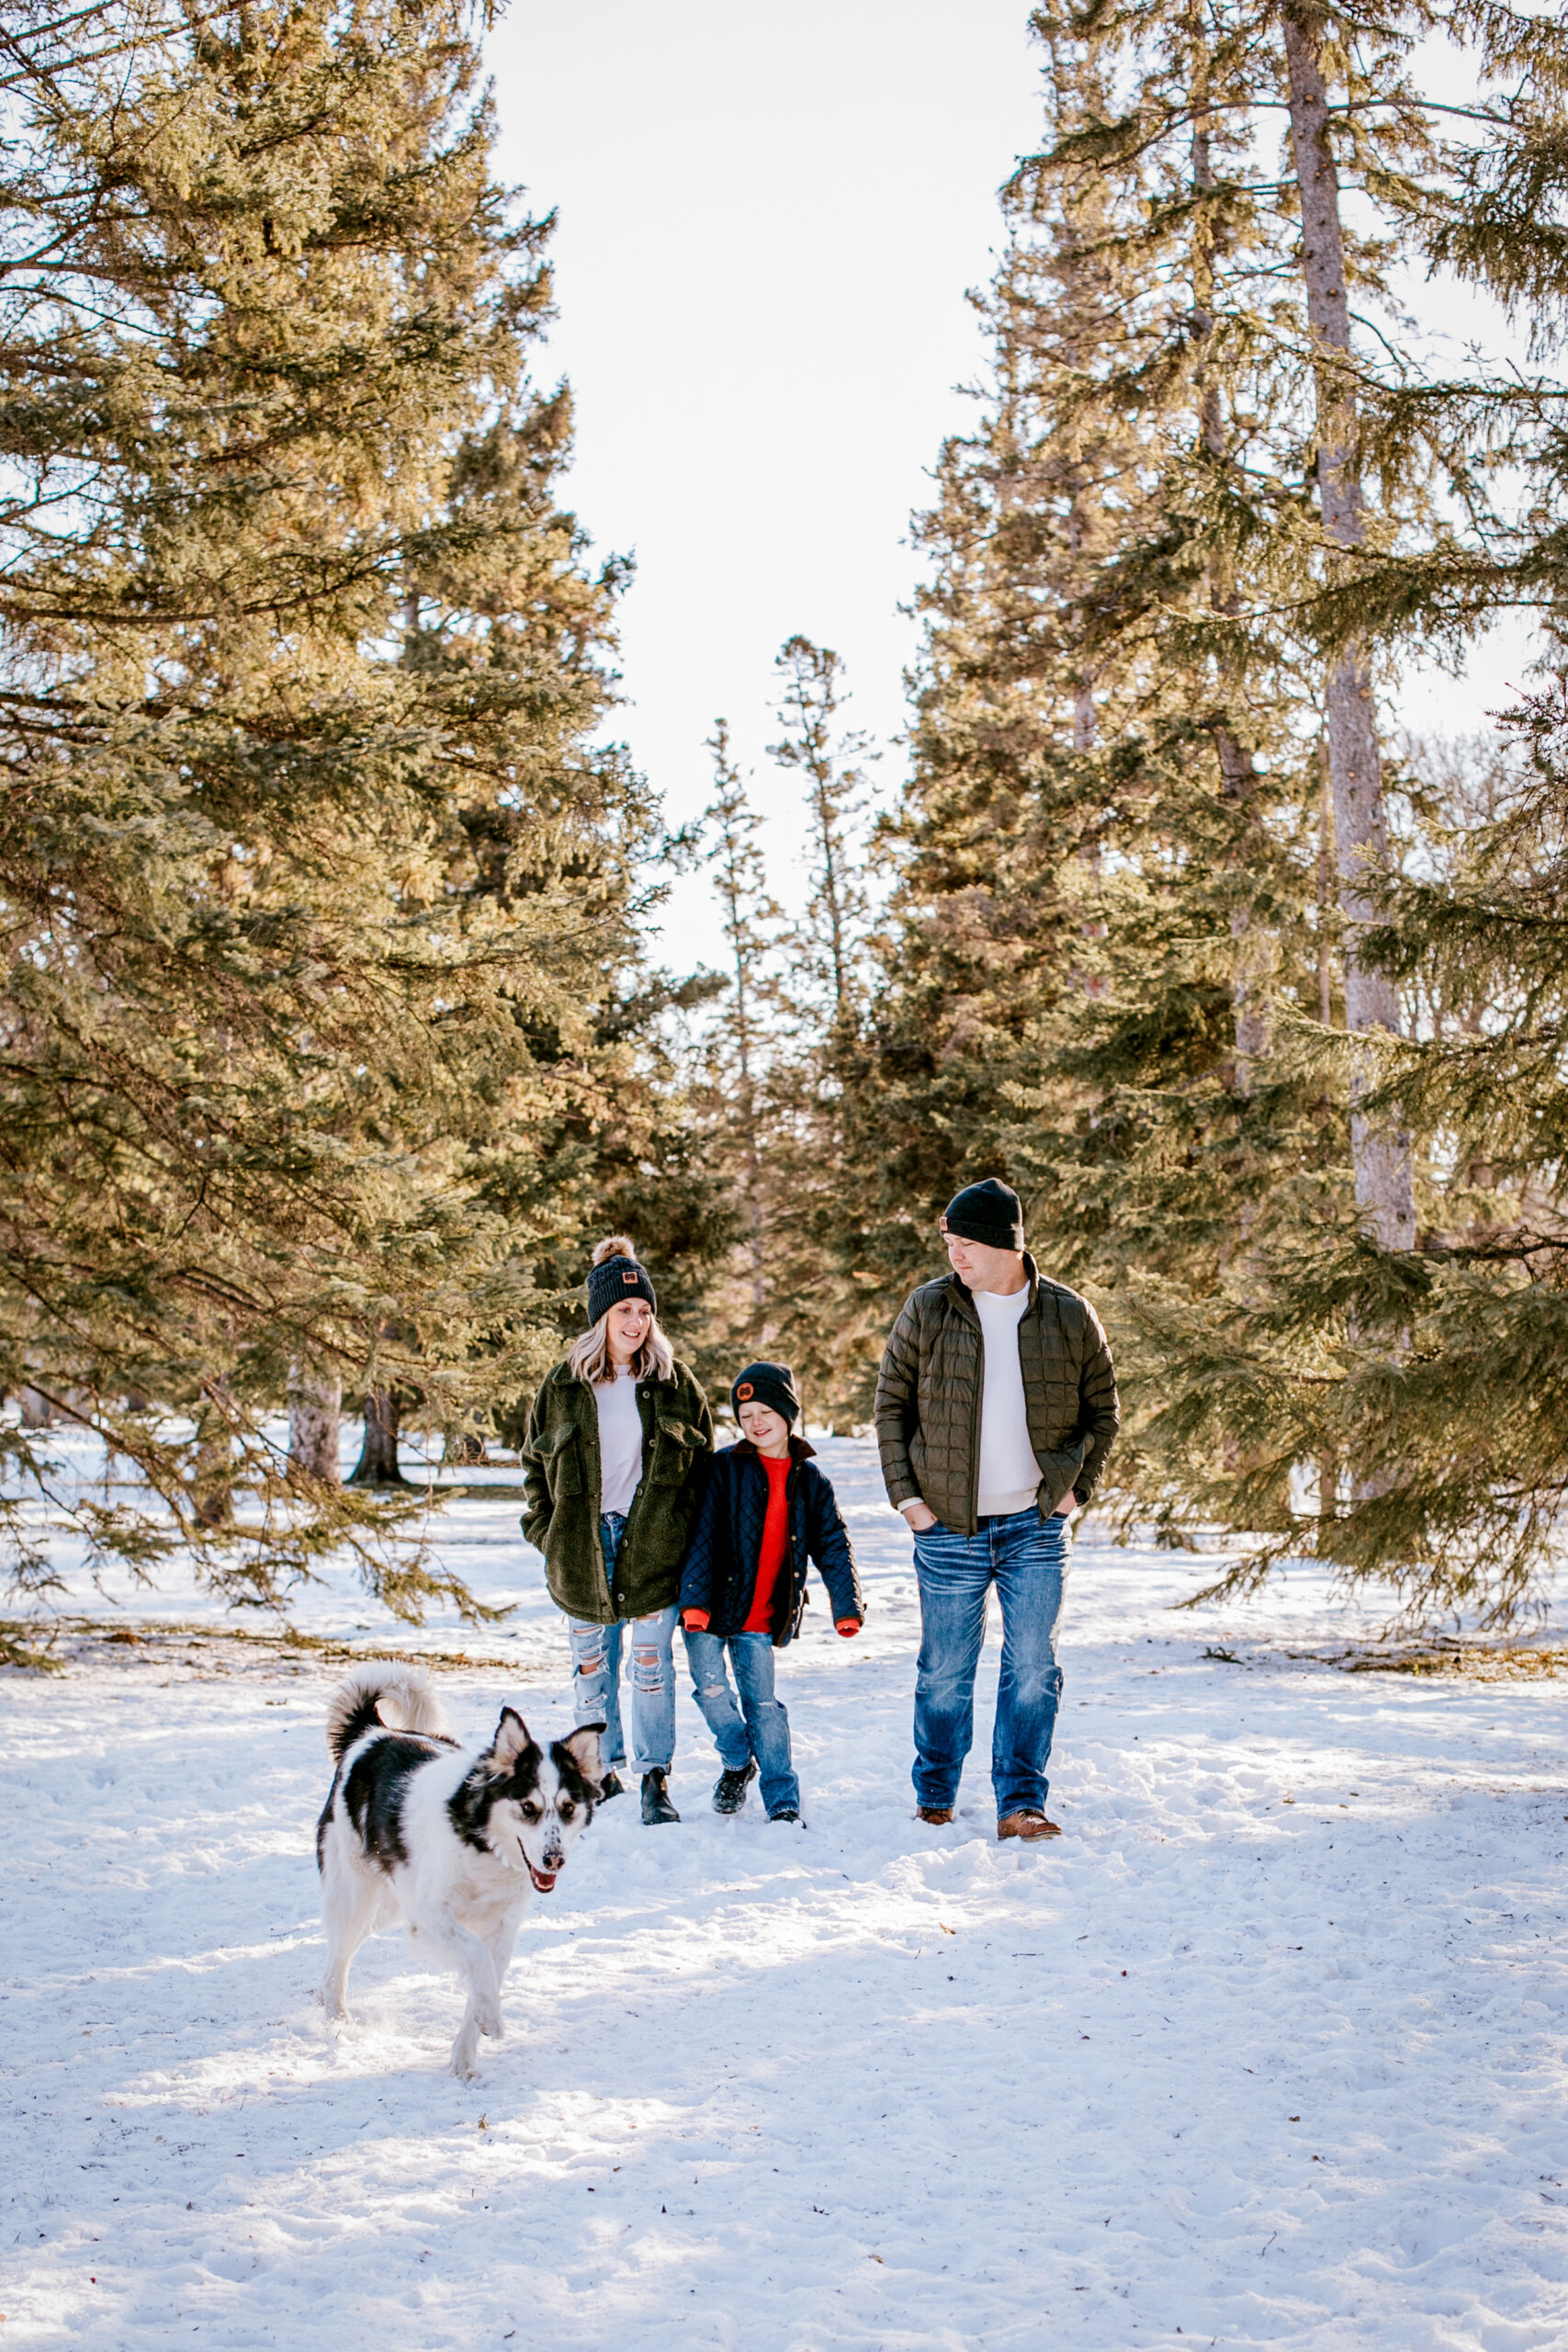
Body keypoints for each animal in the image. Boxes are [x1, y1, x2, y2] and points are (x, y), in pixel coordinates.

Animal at [314, 1674, 606, 2079]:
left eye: (567, 1808)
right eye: (527, 1807)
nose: (554, 1860)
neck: (484, 1846)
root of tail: (372, 1733)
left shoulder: (499, 1930)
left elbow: (483, 1979)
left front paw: (465, 2056)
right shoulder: (429, 1919)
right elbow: (477, 1958)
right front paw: (492, 2020)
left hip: (388, 1907)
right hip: (355, 1896)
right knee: (336, 1964)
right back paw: (336, 2022)